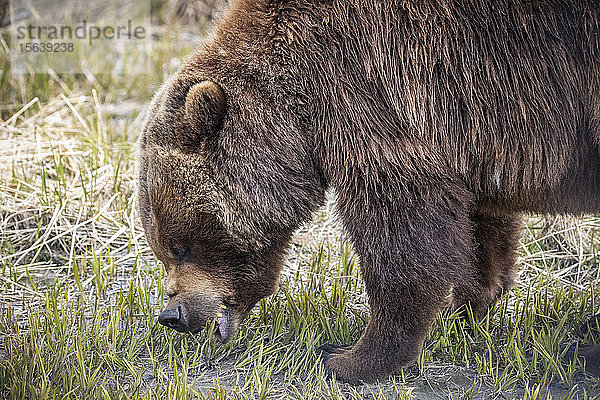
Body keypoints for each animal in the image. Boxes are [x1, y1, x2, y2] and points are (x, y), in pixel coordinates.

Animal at [138, 0, 600, 384]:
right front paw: (465, 306)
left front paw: (349, 358)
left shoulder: (375, 85)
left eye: (182, 246)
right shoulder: (472, 133)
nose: (171, 314)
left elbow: (402, 230)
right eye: (162, 249)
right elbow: (483, 222)